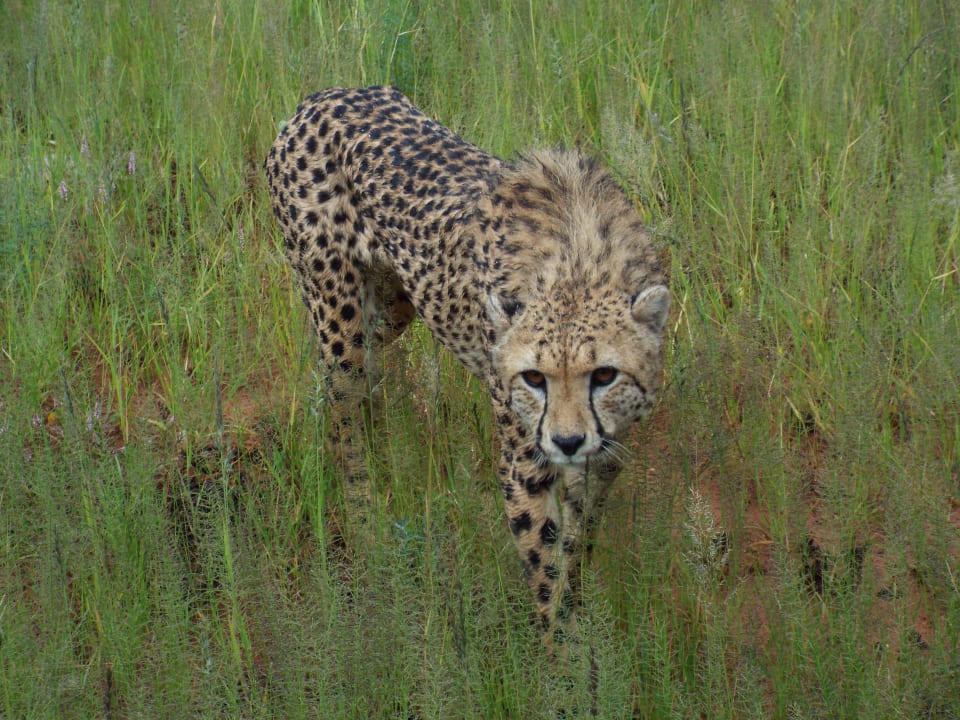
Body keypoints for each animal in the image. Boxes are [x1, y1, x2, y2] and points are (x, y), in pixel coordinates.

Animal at [265, 86, 670, 644]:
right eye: (534, 378)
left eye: (604, 375)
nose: (567, 440)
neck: (577, 264)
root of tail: (326, 95)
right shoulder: (525, 463)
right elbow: (546, 568)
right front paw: (562, 654)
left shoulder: (603, 457)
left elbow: (576, 547)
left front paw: (582, 625)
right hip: (340, 322)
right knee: (341, 409)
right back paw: (366, 520)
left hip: (394, 307)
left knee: (364, 382)